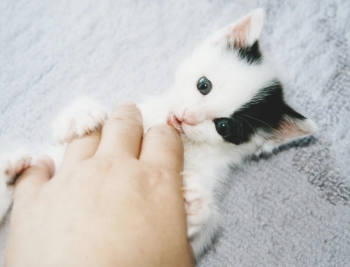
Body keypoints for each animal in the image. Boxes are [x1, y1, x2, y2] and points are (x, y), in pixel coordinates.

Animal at [0, 9, 318, 258]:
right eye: (204, 85)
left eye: (224, 127)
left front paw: (196, 206)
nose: (187, 116)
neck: (184, 140)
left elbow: (200, 234)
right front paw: (82, 114)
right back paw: (11, 167)